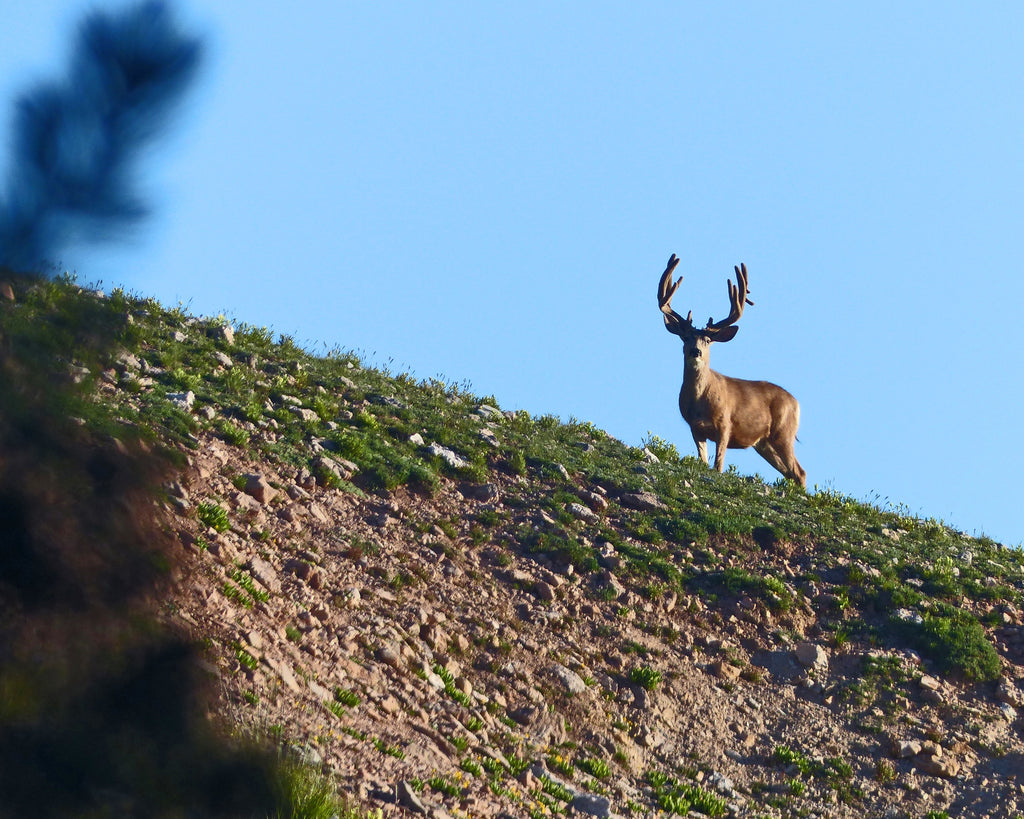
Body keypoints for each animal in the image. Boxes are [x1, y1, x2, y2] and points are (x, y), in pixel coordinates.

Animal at [655, 252, 806, 487]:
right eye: (685, 337)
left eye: (708, 340)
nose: (695, 351)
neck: (700, 399)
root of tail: (797, 404)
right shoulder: (695, 428)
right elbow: (703, 461)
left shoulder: (725, 423)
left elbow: (718, 465)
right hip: (764, 443)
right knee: (791, 472)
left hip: (783, 432)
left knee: (800, 472)